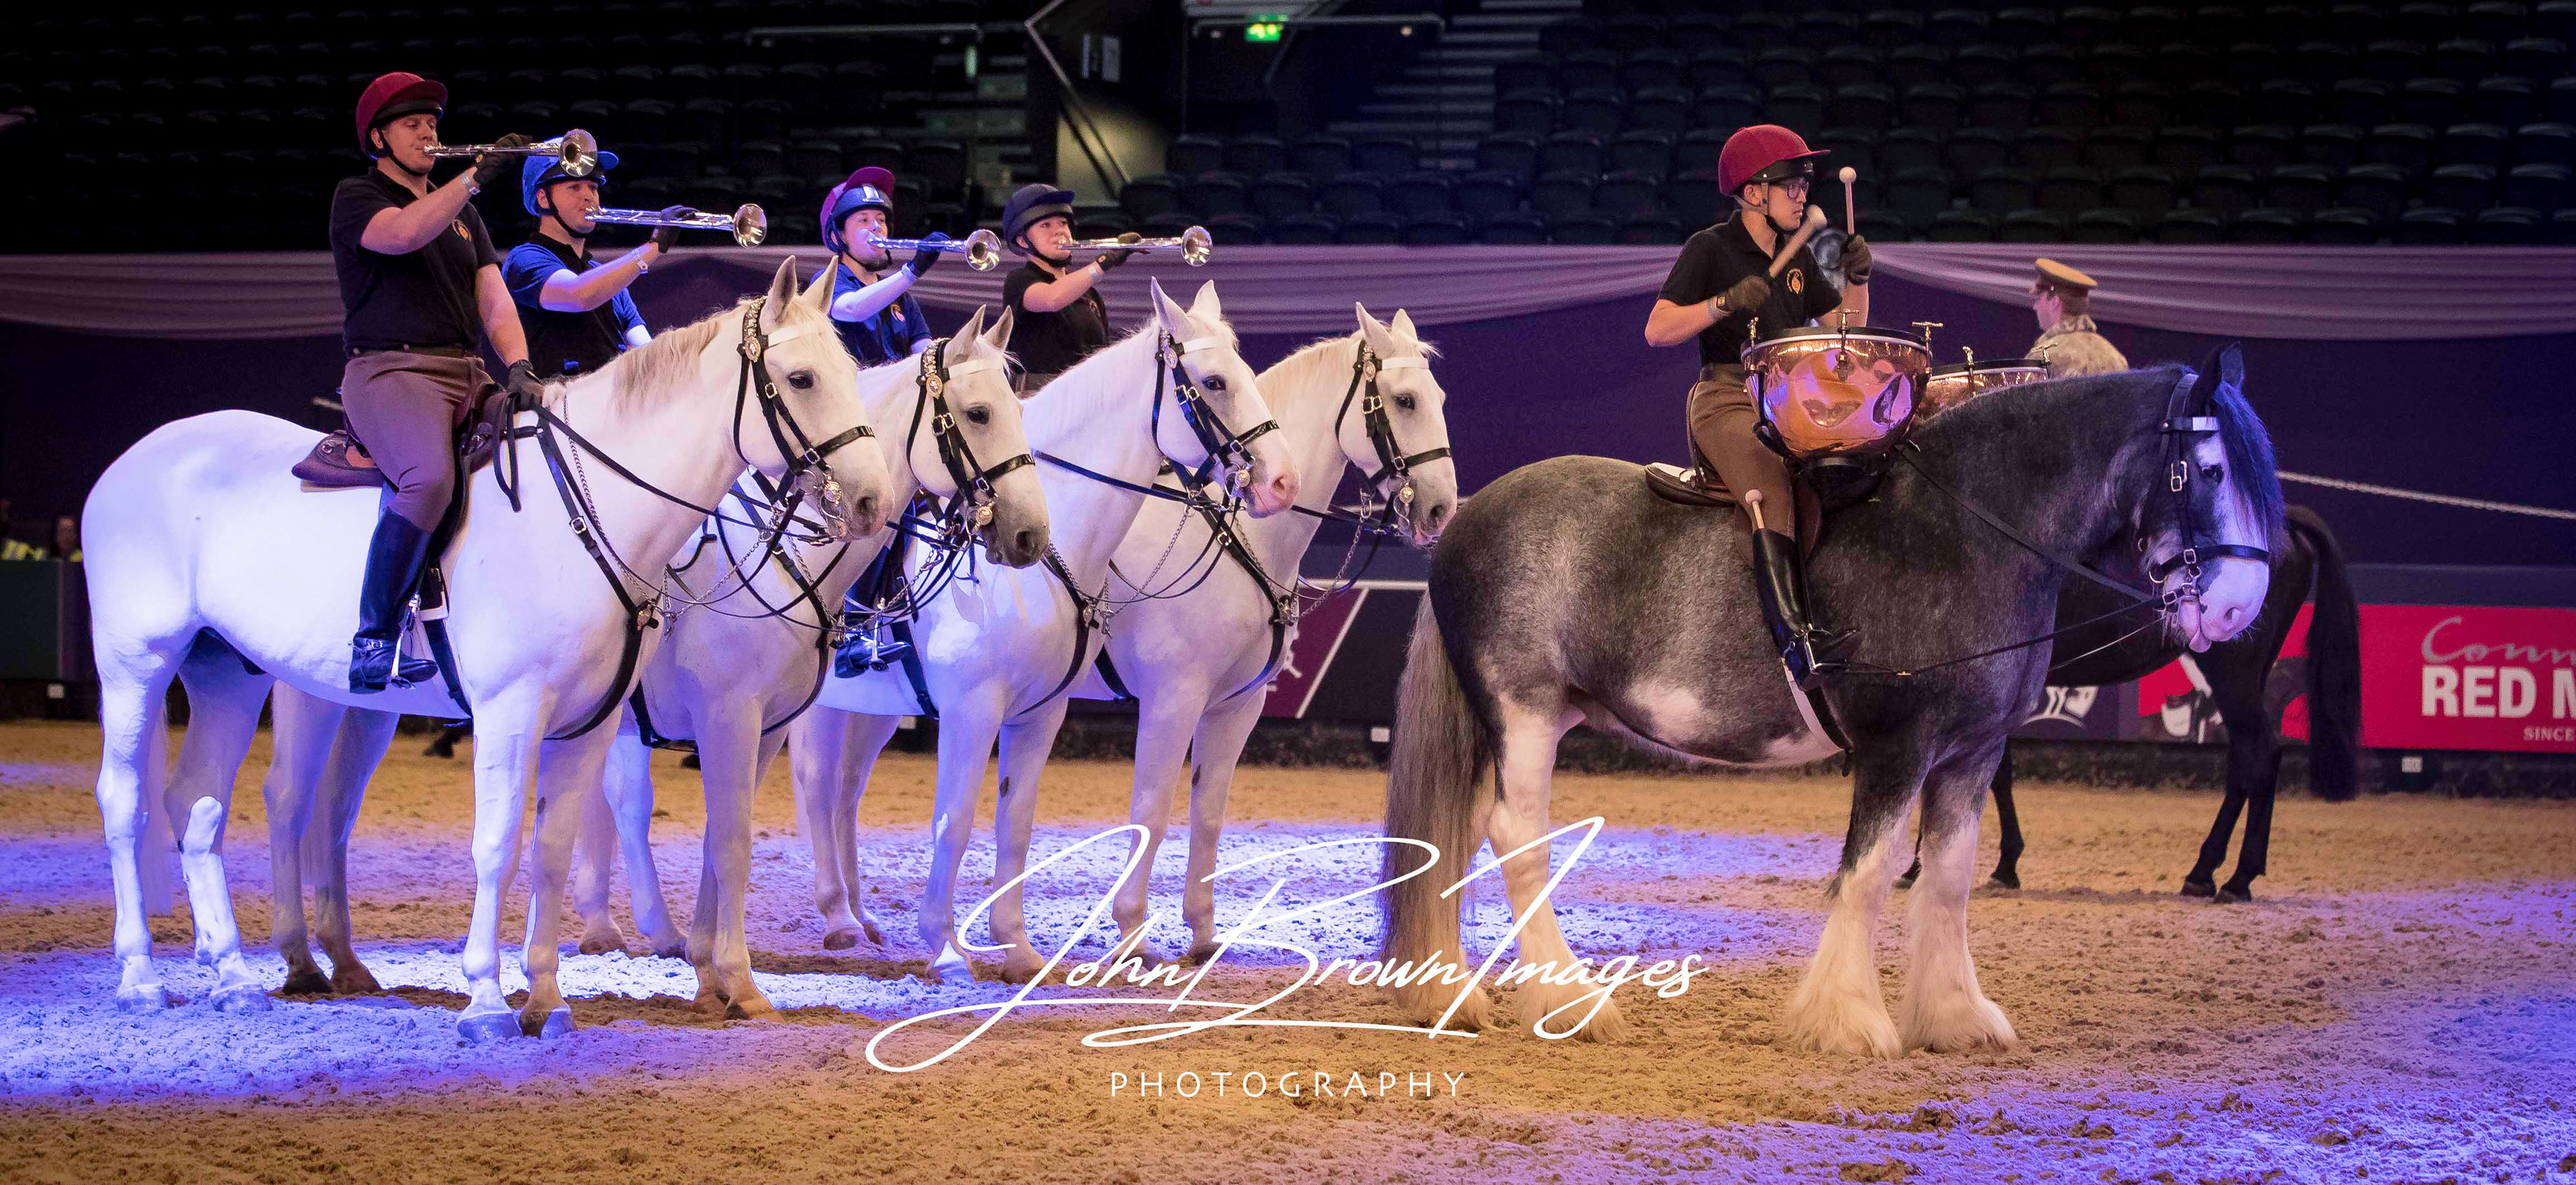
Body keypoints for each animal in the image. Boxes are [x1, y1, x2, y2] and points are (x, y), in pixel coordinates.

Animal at [84, 258, 890, 1042]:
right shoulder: (520, 710)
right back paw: (143, 977)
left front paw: (547, 1000)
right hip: (139, 664)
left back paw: (234, 974)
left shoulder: (593, 720)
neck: (585, 515)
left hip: (228, 672)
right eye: (801, 378)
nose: (874, 502)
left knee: (199, 804)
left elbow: (554, 846)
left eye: (852, 373)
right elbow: (499, 843)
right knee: (134, 800)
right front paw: (485, 999)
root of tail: (133, 460)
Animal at [789, 278, 1299, 983]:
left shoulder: (1045, 710)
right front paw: (946, 948)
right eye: (1215, 382)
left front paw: (1018, 948)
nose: (1282, 480)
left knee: (843, 792)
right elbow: (955, 820)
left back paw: (861, 920)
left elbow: (1019, 819)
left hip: (870, 707)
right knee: (810, 785)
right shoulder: (980, 707)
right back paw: (835, 919)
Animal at [1052, 304, 1460, 964]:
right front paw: (1133, 933)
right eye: (1404, 400)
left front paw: (1202, 933)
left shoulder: (1236, 707)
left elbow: (1210, 814)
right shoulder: (1172, 701)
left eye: (1439, 398)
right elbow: (1152, 812)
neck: (1237, 535)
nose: (1441, 510)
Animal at [1379, 346, 2283, 1055]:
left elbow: (1948, 878)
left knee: (1457, 835)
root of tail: (1465, 520)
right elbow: (1872, 872)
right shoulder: (1898, 745)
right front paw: (1848, 1019)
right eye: (2209, 471)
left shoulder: (1973, 750)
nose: (2239, 608)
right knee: (1516, 835)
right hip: (1524, 712)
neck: (1964, 531)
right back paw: (1573, 1002)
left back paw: (1450, 996)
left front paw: (1955, 1015)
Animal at [1895, 505, 2359, 900]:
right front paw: (2003, 864)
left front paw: (1922, 867)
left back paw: (2237, 880)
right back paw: (2203, 873)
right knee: (2243, 762)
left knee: (2260, 755)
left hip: (2234, 671)